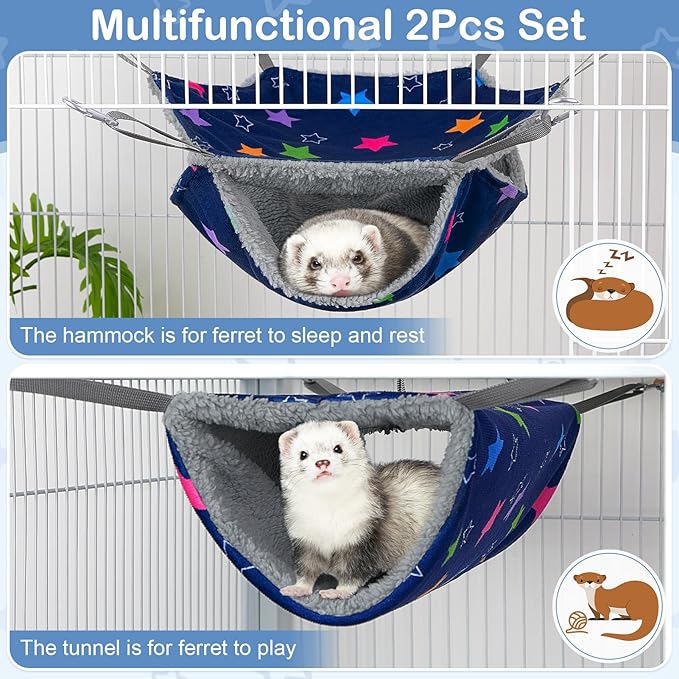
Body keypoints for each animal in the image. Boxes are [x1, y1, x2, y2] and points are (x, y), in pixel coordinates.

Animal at [278, 420, 441, 600]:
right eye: (303, 454)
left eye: (338, 448)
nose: (322, 462)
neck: (328, 518)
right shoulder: (305, 540)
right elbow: (306, 569)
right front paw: (297, 588)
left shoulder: (361, 538)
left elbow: (353, 573)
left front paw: (338, 591)